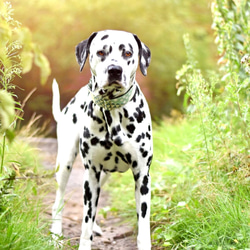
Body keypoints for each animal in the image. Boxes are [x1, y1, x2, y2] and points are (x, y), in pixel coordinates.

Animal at [50, 29, 152, 250]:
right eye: (100, 52)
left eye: (128, 53)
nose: (115, 70)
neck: (113, 111)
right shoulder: (91, 175)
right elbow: (85, 224)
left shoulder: (142, 176)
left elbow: (143, 226)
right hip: (65, 165)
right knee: (58, 201)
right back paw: (55, 233)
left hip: (104, 175)